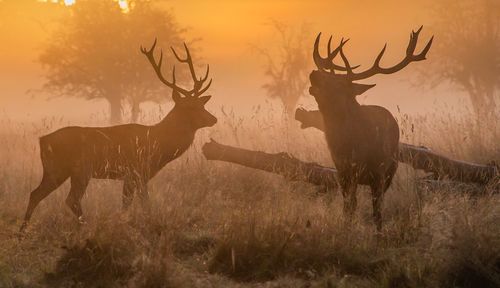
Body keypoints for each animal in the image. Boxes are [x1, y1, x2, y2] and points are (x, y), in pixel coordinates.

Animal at [20, 40, 217, 232]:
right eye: (190, 107)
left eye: (202, 104)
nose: (213, 119)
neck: (157, 142)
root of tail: (42, 140)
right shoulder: (135, 171)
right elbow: (139, 203)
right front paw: (139, 223)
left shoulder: (136, 175)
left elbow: (130, 202)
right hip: (74, 169)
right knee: (69, 199)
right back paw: (82, 225)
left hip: (58, 171)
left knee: (36, 193)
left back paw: (24, 229)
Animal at [310, 26, 432, 230]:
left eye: (339, 83)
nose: (314, 73)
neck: (351, 146)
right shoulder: (343, 171)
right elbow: (349, 207)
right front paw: (347, 228)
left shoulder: (378, 173)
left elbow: (377, 212)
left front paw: (378, 234)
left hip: (390, 170)